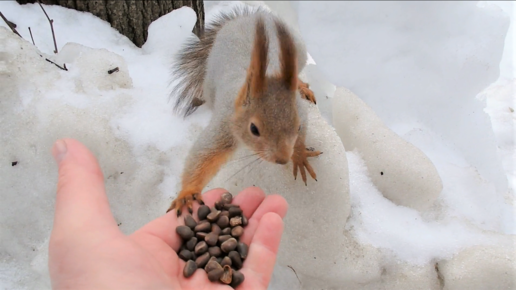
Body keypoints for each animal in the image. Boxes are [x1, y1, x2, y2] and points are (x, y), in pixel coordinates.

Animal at [167, 6, 322, 215]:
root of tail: (243, 19)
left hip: (299, 50)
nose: (282, 159)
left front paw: (299, 155)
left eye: (297, 127)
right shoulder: (224, 125)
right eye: (254, 129)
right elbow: (203, 156)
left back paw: (302, 86)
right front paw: (187, 194)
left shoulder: (301, 113)